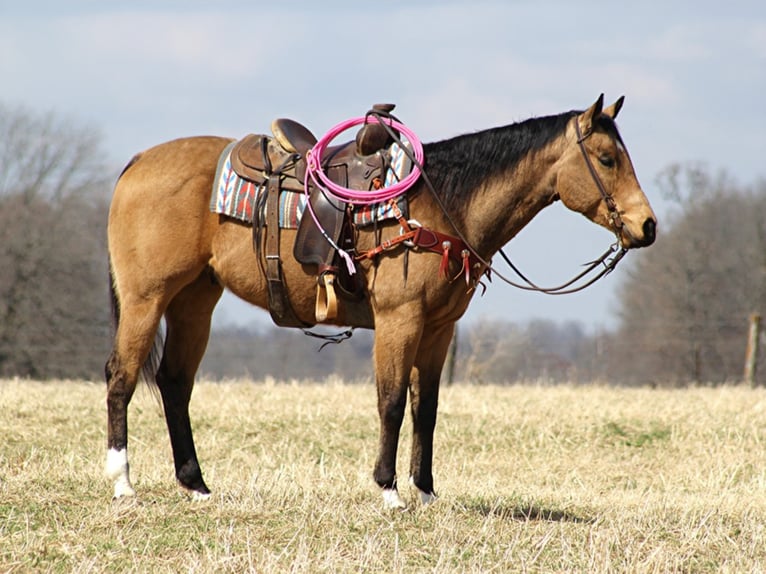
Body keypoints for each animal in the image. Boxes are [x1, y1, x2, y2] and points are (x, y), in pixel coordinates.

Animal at [103, 95, 660, 512]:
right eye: (607, 159)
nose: (647, 226)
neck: (440, 207)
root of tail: (136, 163)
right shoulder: (401, 320)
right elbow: (390, 401)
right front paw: (389, 490)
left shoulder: (439, 330)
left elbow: (425, 408)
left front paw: (426, 491)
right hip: (146, 299)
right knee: (122, 377)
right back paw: (122, 481)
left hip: (195, 300)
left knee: (174, 383)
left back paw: (195, 484)